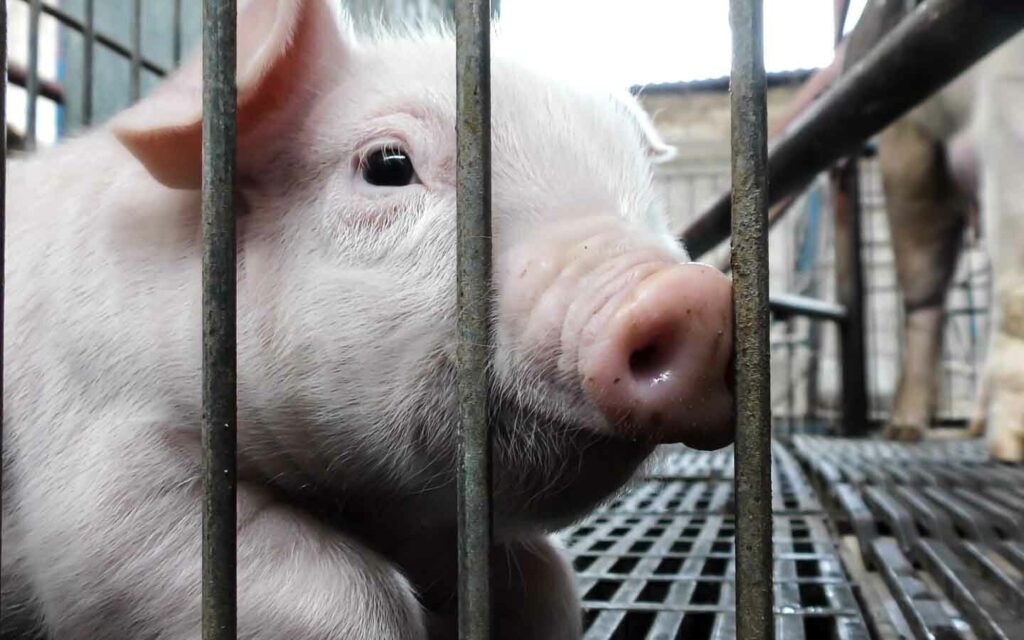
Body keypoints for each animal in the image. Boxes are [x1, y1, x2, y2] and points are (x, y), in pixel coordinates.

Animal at [0, 1, 737, 638]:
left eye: (646, 197)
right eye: (387, 165)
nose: (694, 296)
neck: (357, 498)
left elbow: (550, 590)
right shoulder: (99, 452)